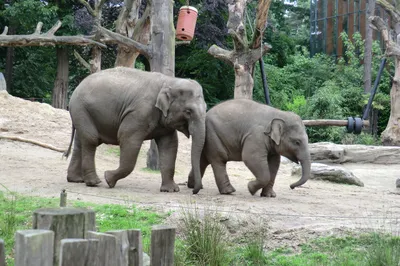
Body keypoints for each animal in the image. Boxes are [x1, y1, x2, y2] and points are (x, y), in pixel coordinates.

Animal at [65, 66, 206, 193]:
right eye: (188, 111)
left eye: (206, 108)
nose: (193, 190)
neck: (170, 81)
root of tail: (77, 87)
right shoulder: (139, 113)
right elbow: (127, 138)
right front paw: (108, 179)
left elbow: (169, 145)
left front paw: (170, 190)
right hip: (81, 109)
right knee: (91, 140)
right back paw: (94, 182)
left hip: (84, 113)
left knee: (80, 142)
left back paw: (76, 179)